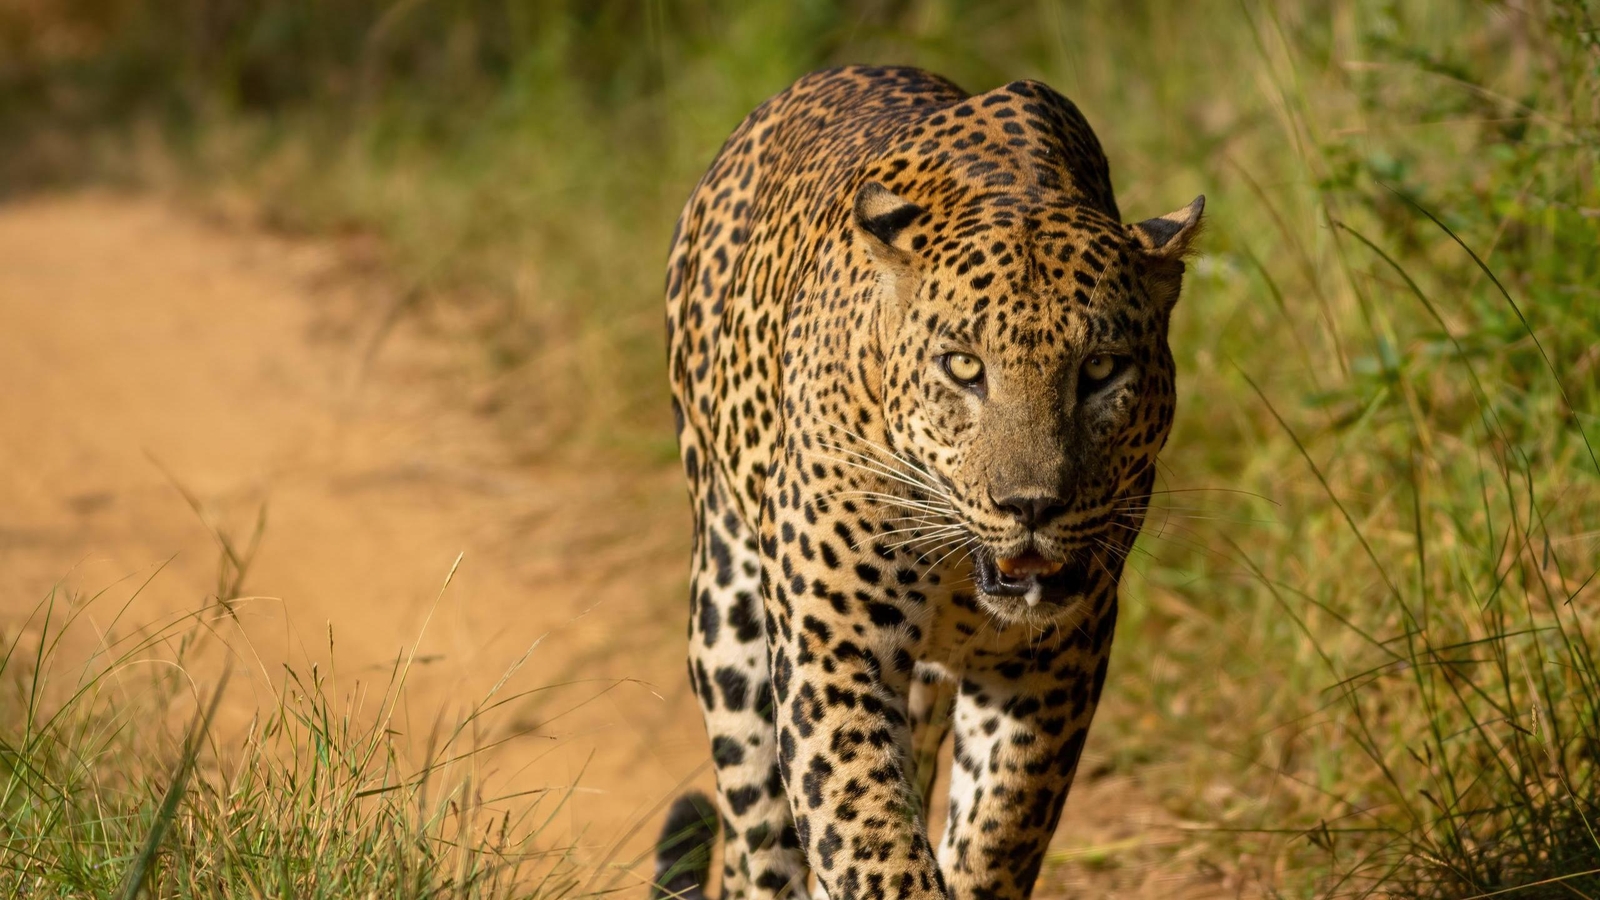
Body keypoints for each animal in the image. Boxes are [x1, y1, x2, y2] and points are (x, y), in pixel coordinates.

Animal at [649, 65, 1204, 900]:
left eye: (1102, 370)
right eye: (964, 367)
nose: (1032, 506)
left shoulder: (1052, 659)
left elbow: (999, 831)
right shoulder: (833, 646)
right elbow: (866, 832)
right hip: (728, 613)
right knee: (759, 840)